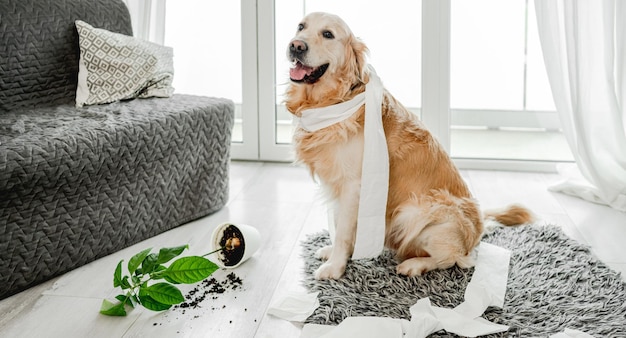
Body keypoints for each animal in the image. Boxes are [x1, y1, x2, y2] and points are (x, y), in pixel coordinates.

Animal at [282, 12, 532, 280]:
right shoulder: (339, 185)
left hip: (416, 212)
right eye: (300, 27)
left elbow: (344, 231)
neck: (333, 102)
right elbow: (341, 226)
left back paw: (414, 265)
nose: (296, 45)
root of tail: (476, 233)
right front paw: (337, 253)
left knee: (455, 259)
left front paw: (335, 267)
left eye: (328, 34)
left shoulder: (354, 185)